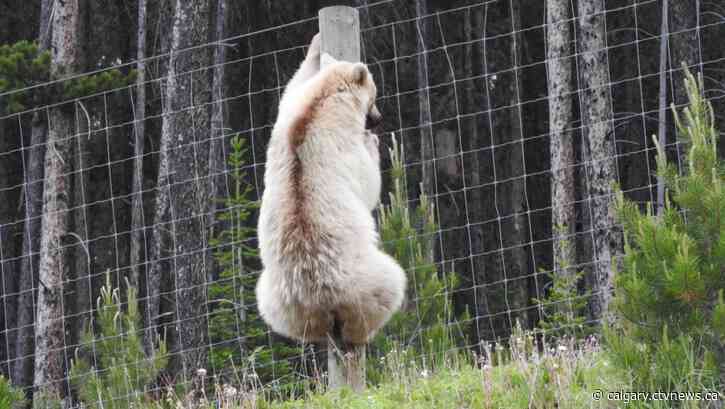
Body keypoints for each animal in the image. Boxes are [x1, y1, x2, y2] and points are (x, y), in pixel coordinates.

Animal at [255, 34, 406, 346]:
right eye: (374, 94)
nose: (378, 118)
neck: (324, 101)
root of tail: (318, 296)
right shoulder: (341, 141)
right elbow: (367, 183)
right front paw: (371, 142)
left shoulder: (289, 114)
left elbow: (291, 87)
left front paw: (315, 46)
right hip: (364, 278)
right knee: (390, 284)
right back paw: (361, 334)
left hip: (276, 298)